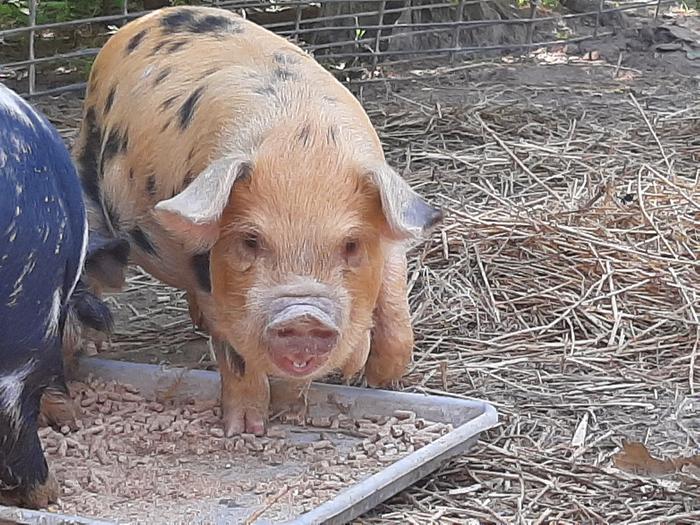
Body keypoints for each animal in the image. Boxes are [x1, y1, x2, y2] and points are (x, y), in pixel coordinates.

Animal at [72, 6, 442, 436]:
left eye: (351, 244)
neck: (302, 148)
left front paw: (377, 381)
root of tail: (149, 18)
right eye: (251, 240)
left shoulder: (391, 237)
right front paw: (246, 430)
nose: (303, 315)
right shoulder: (212, 280)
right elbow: (238, 354)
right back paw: (96, 345)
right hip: (90, 180)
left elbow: (395, 313)